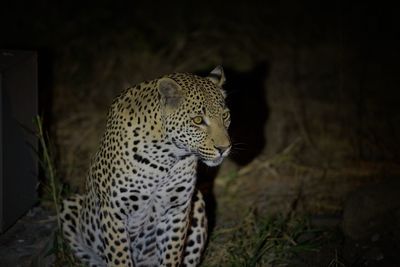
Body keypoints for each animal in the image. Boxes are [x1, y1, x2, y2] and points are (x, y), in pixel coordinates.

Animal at [61, 66, 233, 266]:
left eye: (225, 115)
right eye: (198, 120)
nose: (224, 148)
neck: (166, 158)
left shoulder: (177, 210)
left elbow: (171, 257)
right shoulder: (114, 213)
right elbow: (120, 258)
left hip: (197, 202)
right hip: (70, 207)